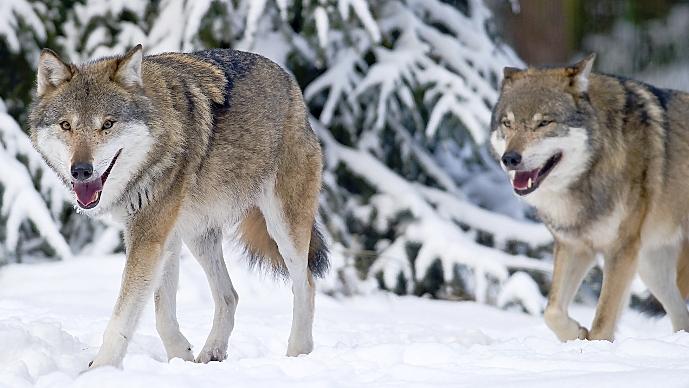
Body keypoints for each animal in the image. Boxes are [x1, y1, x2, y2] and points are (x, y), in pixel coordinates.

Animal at [27, 44, 328, 368]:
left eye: (107, 124)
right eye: (66, 125)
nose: (81, 171)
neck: (162, 131)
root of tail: (290, 82)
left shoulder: (149, 234)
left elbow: (123, 315)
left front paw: (102, 369)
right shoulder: (163, 236)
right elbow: (162, 313)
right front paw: (180, 357)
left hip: (284, 228)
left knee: (305, 284)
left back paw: (298, 352)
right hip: (198, 235)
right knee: (230, 296)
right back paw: (211, 352)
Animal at [490, 53, 688, 342]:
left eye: (543, 123)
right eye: (508, 123)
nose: (510, 158)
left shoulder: (620, 250)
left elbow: (603, 321)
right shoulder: (574, 246)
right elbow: (551, 312)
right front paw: (576, 334)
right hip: (652, 269)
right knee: (681, 315)